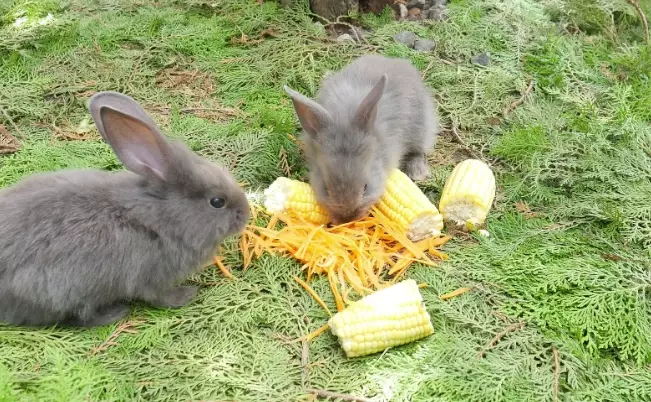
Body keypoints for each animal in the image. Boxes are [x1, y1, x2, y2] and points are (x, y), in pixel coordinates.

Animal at [0, 91, 250, 328]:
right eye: (217, 201)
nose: (245, 214)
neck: (161, 216)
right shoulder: (150, 276)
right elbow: (158, 296)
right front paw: (186, 295)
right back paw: (114, 313)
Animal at [283, 54, 439, 224]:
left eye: (366, 187)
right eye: (325, 188)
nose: (347, 218)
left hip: (421, 126)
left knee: (419, 149)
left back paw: (417, 172)